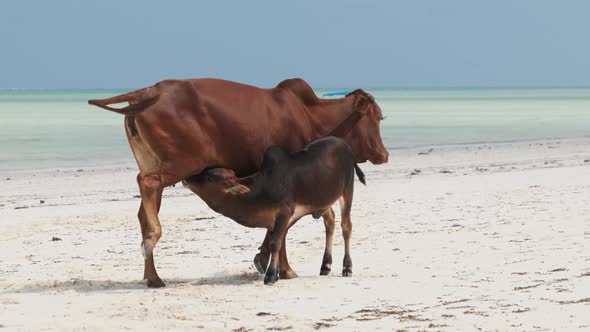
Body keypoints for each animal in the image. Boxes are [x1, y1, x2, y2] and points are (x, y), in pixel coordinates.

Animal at [184, 136, 366, 284]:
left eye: (209, 177)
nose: (187, 178)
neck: (260, 189)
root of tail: (345, 144)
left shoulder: (284, 213)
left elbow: (275, 242)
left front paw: (271, 275)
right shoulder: (278, 219)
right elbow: (279, 241)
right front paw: (282, 273)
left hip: (347, 192)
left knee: (346, 226)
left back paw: (347, 267)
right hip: (323, 201)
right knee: (330, 222)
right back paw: (325, 265)